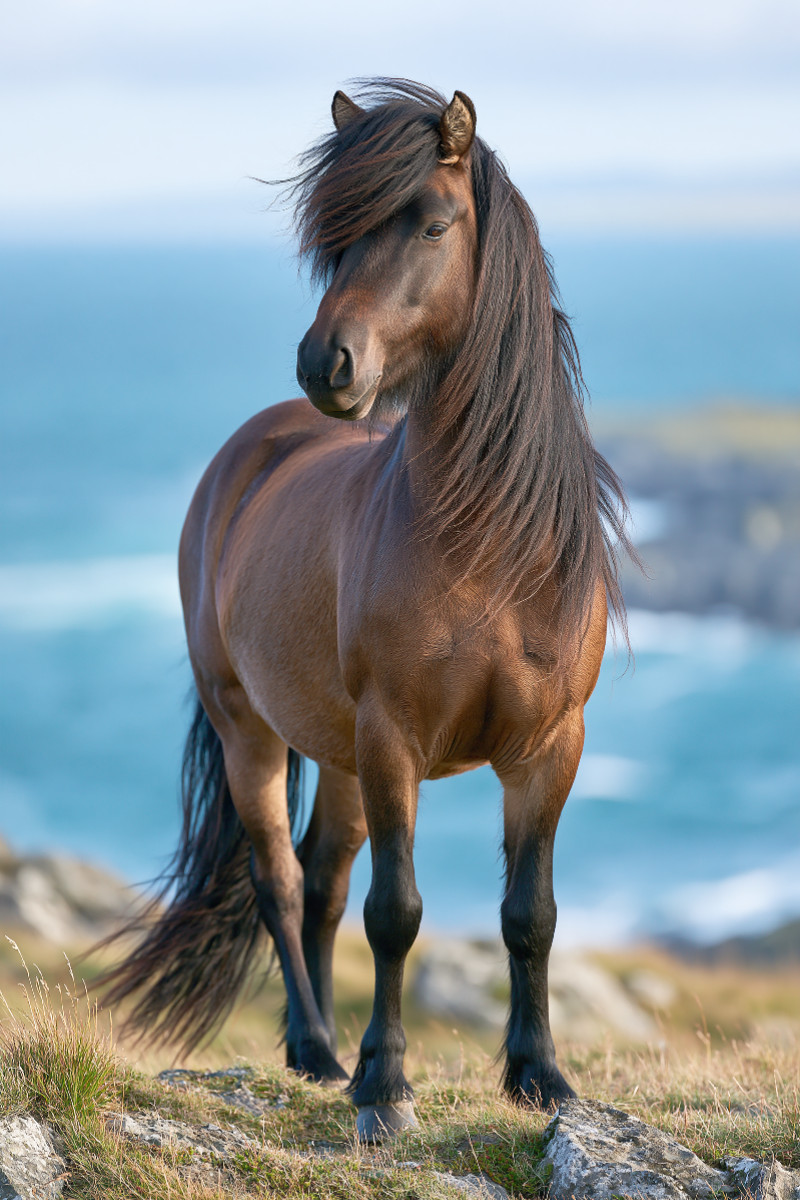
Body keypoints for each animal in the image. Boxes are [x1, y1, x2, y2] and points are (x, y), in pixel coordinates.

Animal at [102, 79, 633, 1141]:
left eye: (431, 224)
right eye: (337, 241)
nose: (326, 364)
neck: (490, 547)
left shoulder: (550, 746)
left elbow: (530, 915)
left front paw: (539, 1077)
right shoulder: (396, 740)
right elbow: (397, 913)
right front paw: (386, 1089)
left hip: (339, 753)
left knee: (324, 878)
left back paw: (315, 1058)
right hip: (253, 730)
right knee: (279, 879)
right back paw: (317, 1049)